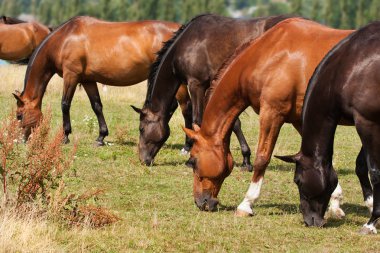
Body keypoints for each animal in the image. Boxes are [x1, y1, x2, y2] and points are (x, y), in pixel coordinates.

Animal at [12, 16, 182, 145]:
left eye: (19, 115)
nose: (20, 141)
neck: (64, 39)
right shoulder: (88, 80)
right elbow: (97, 106)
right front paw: (101, 136)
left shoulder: (71, 76)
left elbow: (65, 104)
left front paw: (65, 136)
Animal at [132, 13, 296, 168]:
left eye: (141, 128)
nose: (143, 160)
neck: (185, 44)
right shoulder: (212, 85)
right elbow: (233, 122)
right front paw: (245, 159)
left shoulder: (196, 84)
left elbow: (197, 119)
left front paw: (192, 159)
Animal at [181, 17, 368, 219]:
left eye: (192, 161)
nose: (201, 202)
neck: (270, 56)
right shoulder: (300, 120)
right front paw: (335, 202)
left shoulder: (271, 114)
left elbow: (262, 158)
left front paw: (246, 204)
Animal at [274, 20, 380, 234]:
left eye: (297, 180)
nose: (311, 221)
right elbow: (363, 165)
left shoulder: (367, 122)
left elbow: (374, 171)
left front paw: (371, 222)